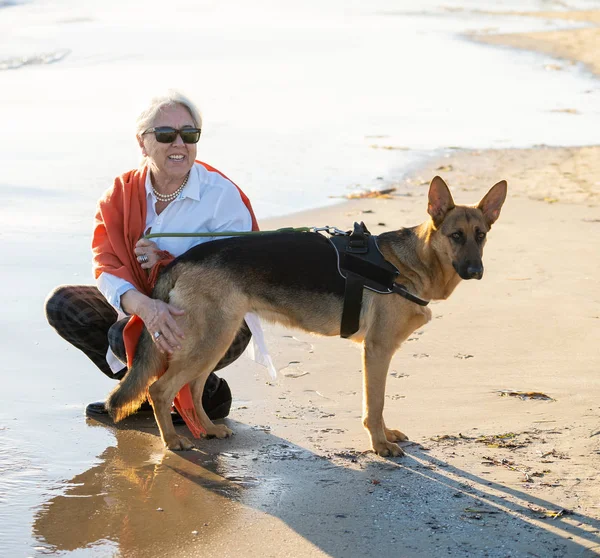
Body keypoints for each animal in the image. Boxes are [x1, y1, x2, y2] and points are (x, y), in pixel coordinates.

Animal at [108, 177, 506, 458]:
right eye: (456, 236)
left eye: (481, 236)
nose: (476, 271)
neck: (409, 263)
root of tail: (179, 259)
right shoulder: (377, 351)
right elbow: (375, 403)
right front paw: (380, 445)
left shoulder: (377, 353)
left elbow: (377, 403)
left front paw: (385, 435)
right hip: (209, 341)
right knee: (160, 389)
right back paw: (173, 442)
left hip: (216, 340)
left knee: (190, 386)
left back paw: (208, 428)